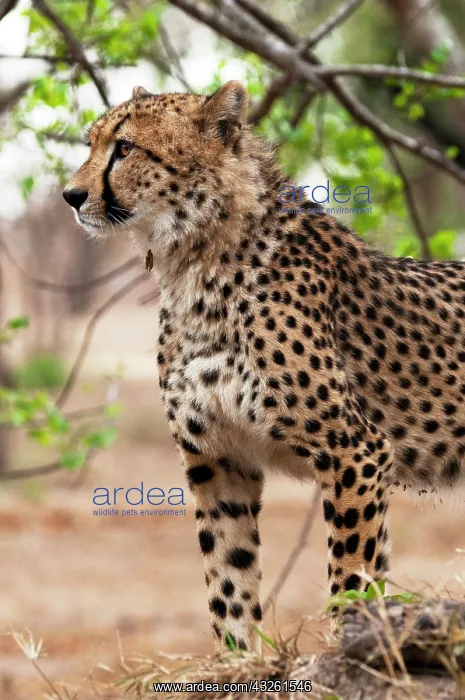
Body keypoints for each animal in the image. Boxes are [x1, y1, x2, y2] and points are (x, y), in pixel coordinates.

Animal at [63, 80, 465, 655]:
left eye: (125, 148)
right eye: (92, 143)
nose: (70, 196)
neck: (195, 259)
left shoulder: (356, 451)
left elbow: (352, 574)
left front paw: (350, 645)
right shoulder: (217, 459)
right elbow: (228, 578)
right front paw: (236, 661)